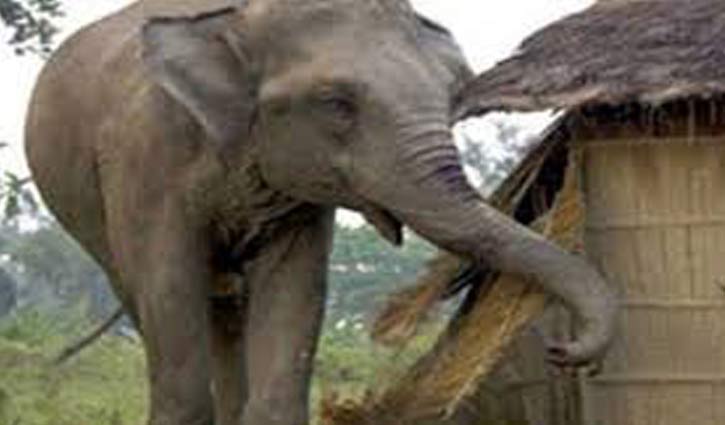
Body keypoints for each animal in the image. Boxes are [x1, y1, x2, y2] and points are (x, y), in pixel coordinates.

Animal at [24, 0, 618, 424]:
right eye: (336, 104)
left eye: (454, 94)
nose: (564, 350)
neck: (243, 20)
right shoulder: (146, 164)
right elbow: (169, 287)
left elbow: (296, 293)